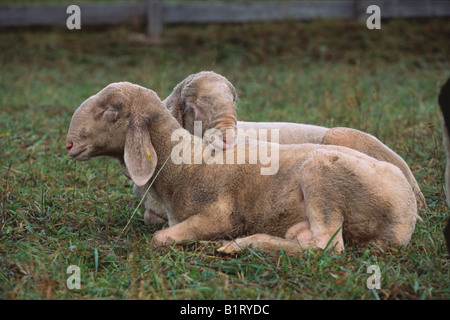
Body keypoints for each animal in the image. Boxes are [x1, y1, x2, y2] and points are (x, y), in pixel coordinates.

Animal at [66, 82, 418, 255]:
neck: (184, 162)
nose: (68, 144)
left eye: (111, 110)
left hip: (322, 177)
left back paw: (244, 244)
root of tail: (408, 213)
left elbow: (160, 238)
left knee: (327, 246)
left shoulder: (222, 212)